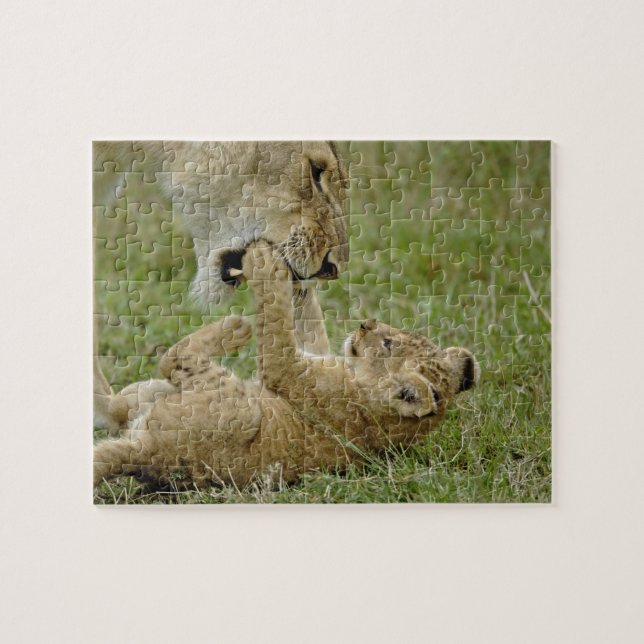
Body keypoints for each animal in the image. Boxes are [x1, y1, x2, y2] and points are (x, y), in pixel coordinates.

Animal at [93, 243, 479, 492]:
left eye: (387, 344)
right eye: (396, 334)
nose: (365, 324)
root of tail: (150, 455)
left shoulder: (287, 369)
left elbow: (277, 320)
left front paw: (265, 262)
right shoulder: (316, 353)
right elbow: (308, 318)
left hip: (237, 408)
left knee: (173, 358)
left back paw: (235, 327)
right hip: (149, 395)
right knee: (114, 409)